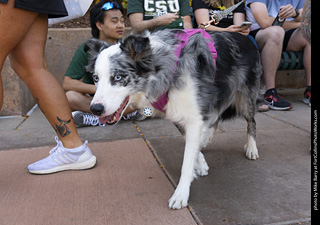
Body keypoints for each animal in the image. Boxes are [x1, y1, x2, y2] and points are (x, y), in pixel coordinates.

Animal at [84, 29, 262, 210]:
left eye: (118, 77)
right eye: (96, 78)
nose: (95, 109)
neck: (161, 68)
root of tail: (246, 37)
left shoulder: (193, 116)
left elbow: (187, 161)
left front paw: (181, 194)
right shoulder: (179, 113)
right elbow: (190, 143)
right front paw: (201, 162)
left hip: (246, 97)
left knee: (251, 122)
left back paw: (251, 148)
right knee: (216, 117)